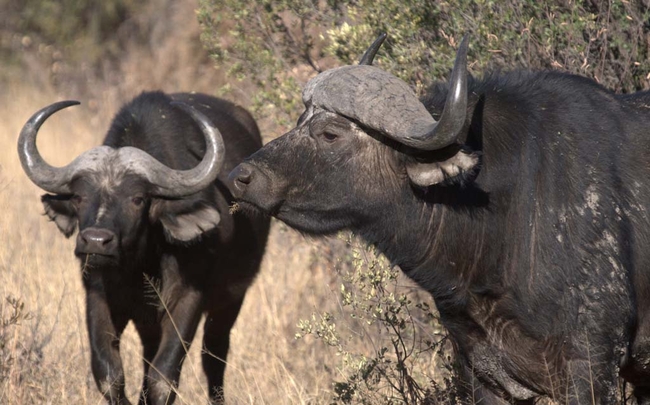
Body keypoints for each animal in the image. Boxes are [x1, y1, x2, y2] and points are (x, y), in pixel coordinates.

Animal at [18, 91, 269, 405]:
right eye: (78, 197)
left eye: (138, 199)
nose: (96, 241)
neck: (140, 265)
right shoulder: (98, 295)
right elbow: (108, 373)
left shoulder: (189, 298)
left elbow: (163, 377)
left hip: (231, 300)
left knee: (214, 355)